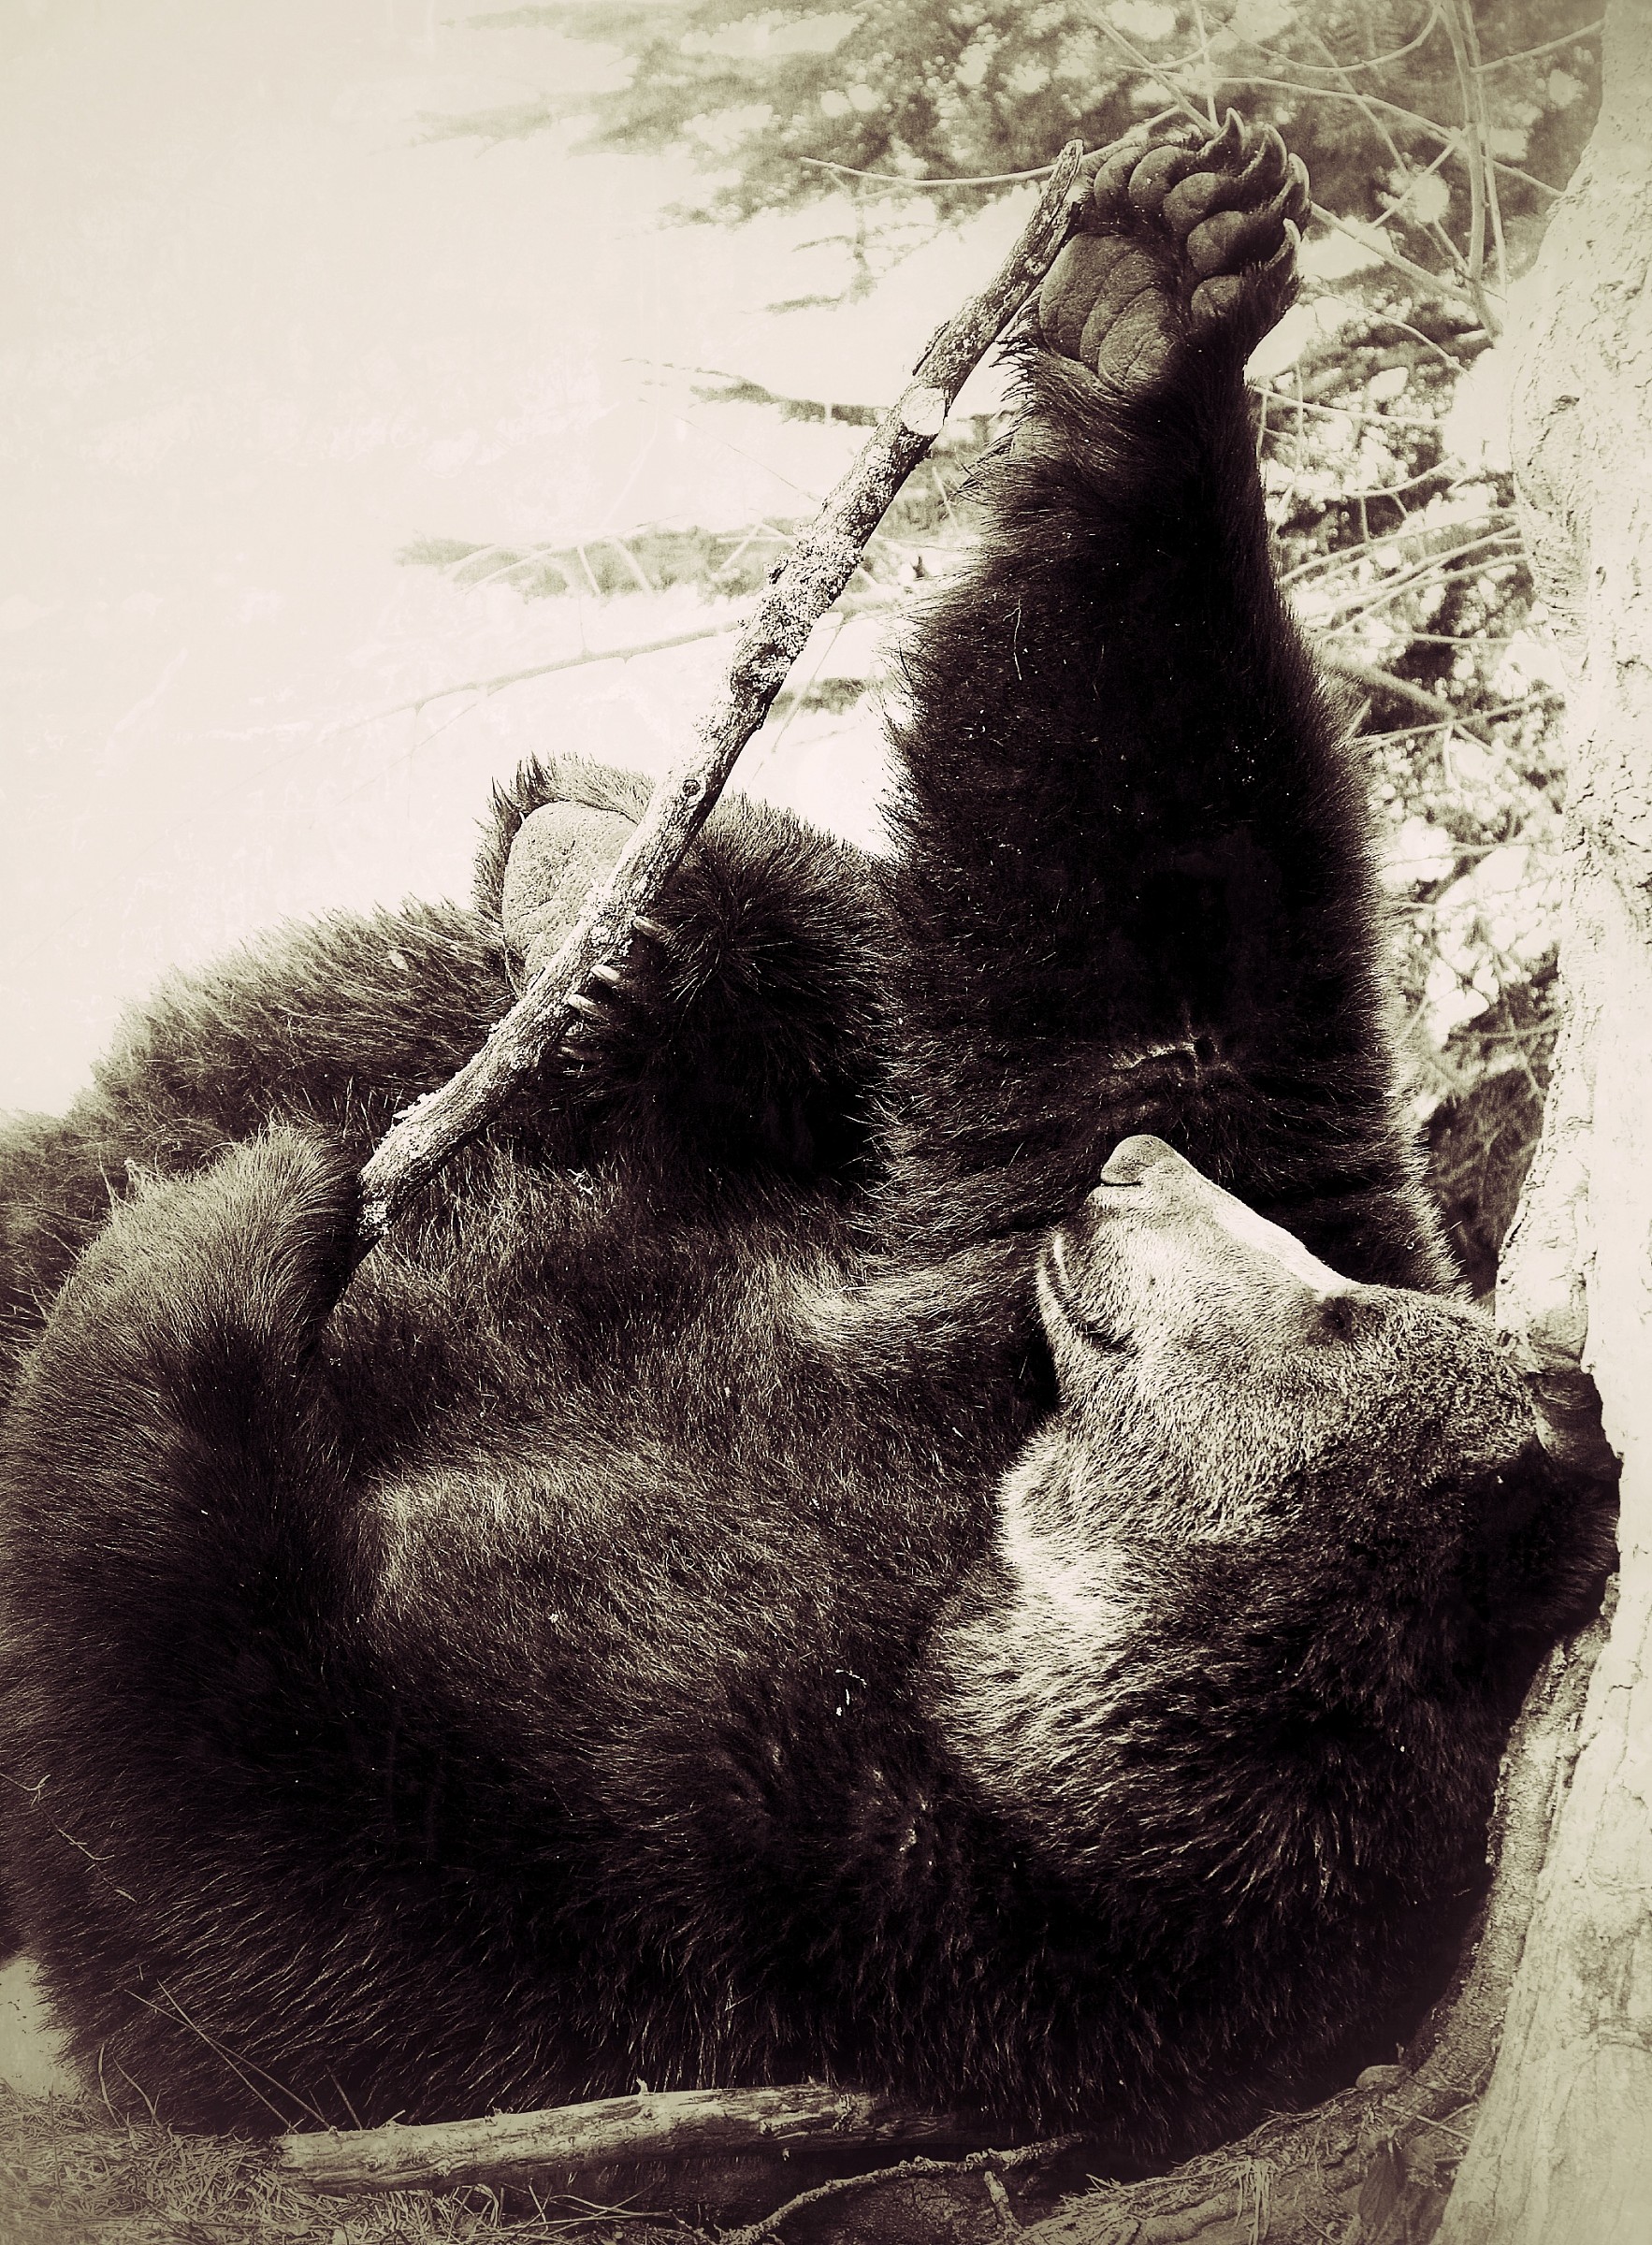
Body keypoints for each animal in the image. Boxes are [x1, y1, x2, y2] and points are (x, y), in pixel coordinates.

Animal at [0, 115, 1613, 2168]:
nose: (1138, 1180)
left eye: (1333, 1315)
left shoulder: (791, 1875)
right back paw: (598, 936)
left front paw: (224, 1250)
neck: (986, 1576)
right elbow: (1139, 939)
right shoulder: (969, 1277)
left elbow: (246, 1813)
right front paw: (1156, 290)